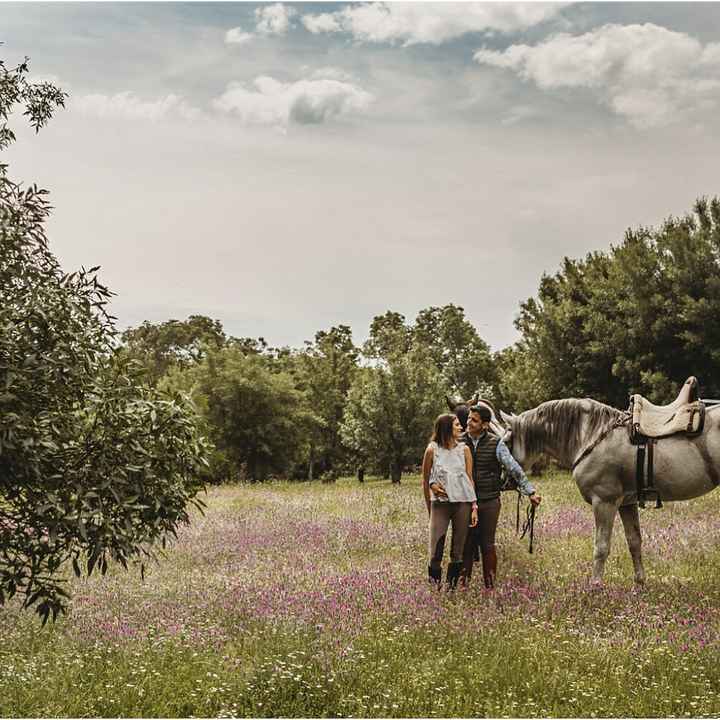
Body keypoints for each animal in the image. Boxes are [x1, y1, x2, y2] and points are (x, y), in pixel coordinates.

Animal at [500, 394, 720, 584]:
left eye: (507, 442)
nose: (504, 481)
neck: (592, 436)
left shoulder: (604, 502)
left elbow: (601, 547)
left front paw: (595, 586)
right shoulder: (626, 504)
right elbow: (634, 542)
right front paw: (639, 583)